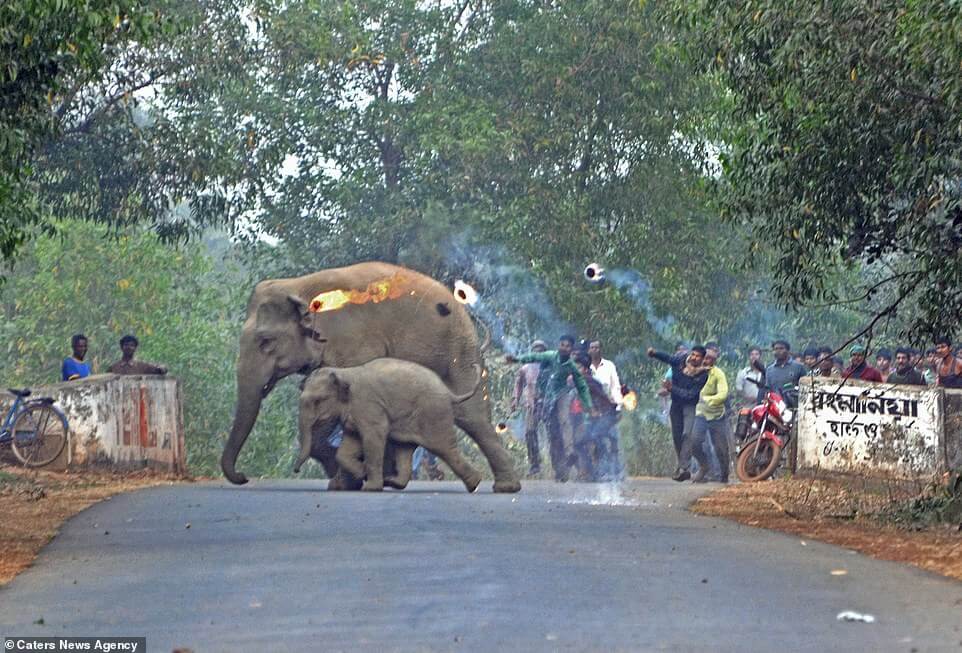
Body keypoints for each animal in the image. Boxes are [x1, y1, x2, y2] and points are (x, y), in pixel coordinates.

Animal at [296, 360, 484, 492]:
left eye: (318, 400)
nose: (295, 471)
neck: (344, 372)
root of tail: (449, 393)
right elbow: (348, 445)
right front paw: (362, 473)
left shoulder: (369, 406)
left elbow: (373, 438)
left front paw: (370, 487)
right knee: (405, 448)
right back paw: (392, 481)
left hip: (433, 414)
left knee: (444, 448)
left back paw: (474, 485)